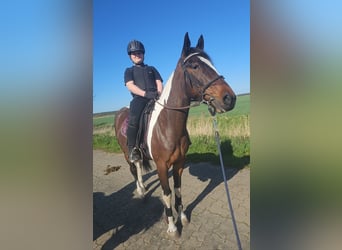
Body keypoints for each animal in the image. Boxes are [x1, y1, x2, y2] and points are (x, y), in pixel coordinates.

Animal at [115, 32, 235, 237]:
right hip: (126, 153)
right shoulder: (162, 166)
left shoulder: (179, 163)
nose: (230, 98)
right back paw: (141, 192)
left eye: (211, 64)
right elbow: (167, 193)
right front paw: (171, 225)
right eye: (195, 66)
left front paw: (183, 217)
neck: (168, 124)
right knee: (134, 169)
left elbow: (177, 190)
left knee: (138, 168)